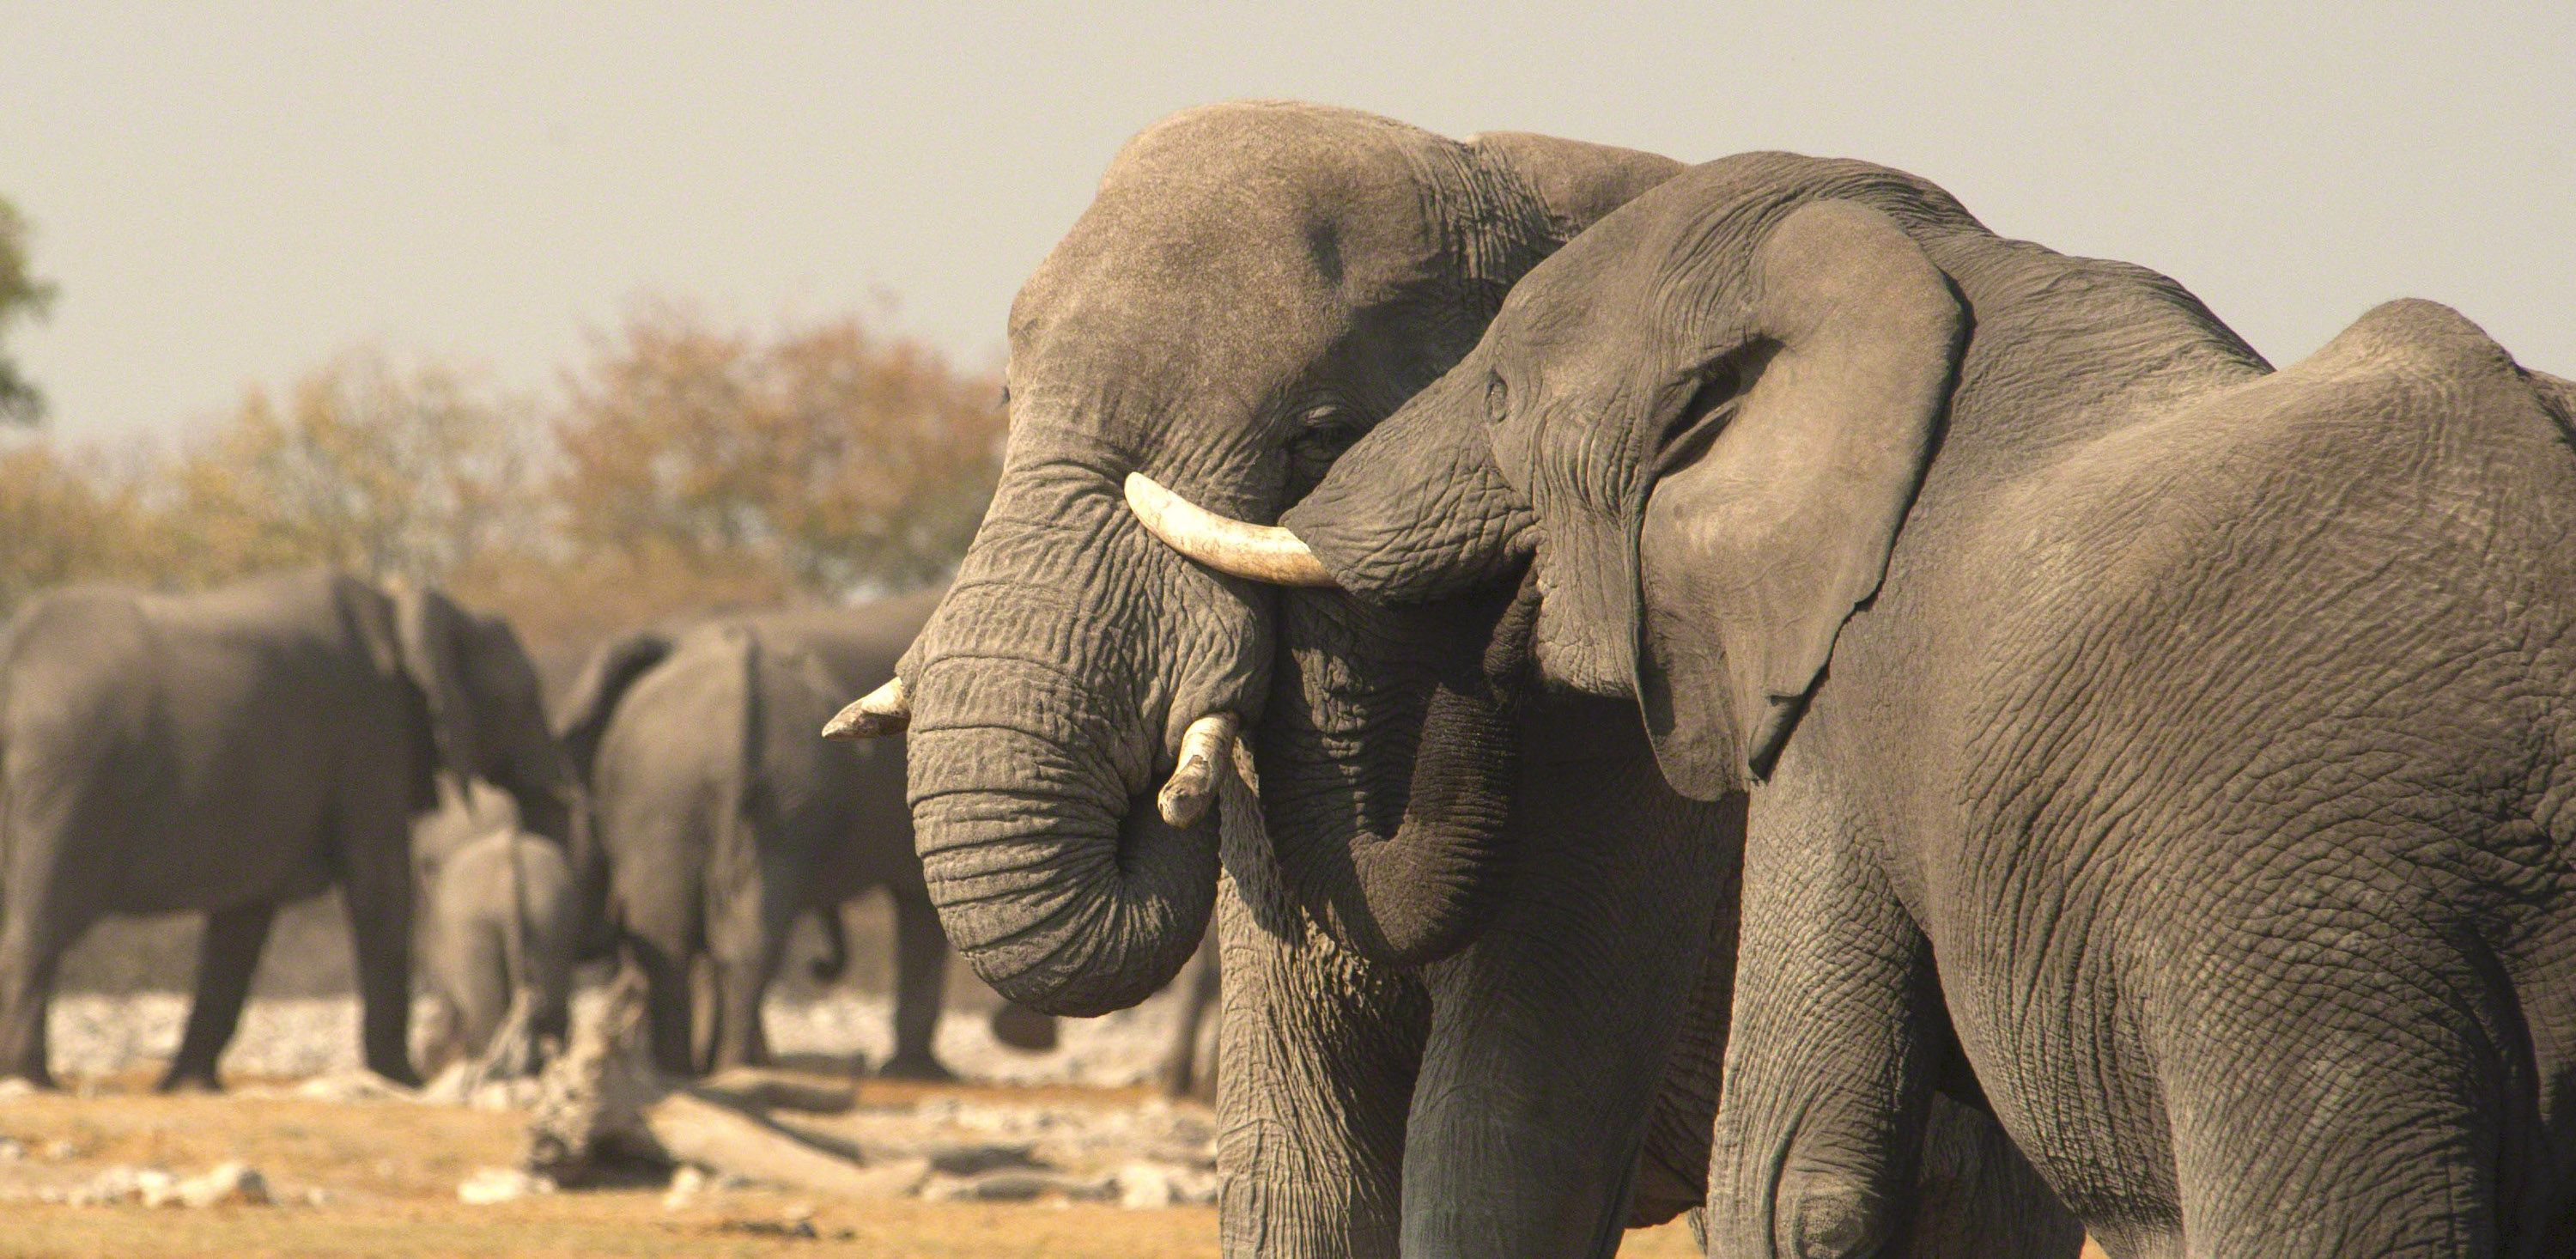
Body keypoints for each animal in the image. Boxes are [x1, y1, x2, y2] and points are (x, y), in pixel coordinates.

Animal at [0, 563, 574, 1086]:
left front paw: (191, 1087)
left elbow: (243, 921)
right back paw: (31, 1079)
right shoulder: (372, 738)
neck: (406, 604)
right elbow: (382, 890)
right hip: (67, 783)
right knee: (40, 927)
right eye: (527, 701)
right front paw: (402, 1082)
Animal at [840, 100, 2071, 1256]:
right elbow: (1299, 1155)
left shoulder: (1636, 746)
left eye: (1319, 436)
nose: (1500, 637)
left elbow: (1506, 1135)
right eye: (1009, 404)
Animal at [1175, 151, 2576, 1251]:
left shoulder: (1839, 695)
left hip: (2313, 950)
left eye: (1503, 397)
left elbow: (1796, 1174)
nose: (1511, 620)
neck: (1923, 256)